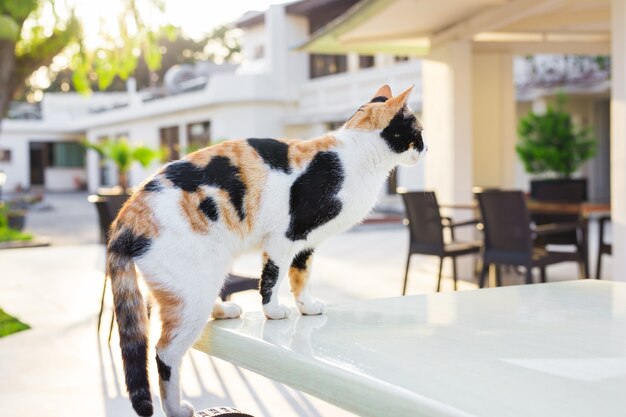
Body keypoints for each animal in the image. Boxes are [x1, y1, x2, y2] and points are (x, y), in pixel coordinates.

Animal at [108, 84, 424, 416]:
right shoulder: (285, 237)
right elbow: (272, 277)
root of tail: (126, 216)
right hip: (193, 284)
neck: (354, 155)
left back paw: (223, 310)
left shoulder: (306, 245)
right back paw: (177, 408)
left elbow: (301, 278)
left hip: (205, 277)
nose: (425, 149)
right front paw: (273, 312)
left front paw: (306, 307)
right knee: (165, 352)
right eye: (418, 131)